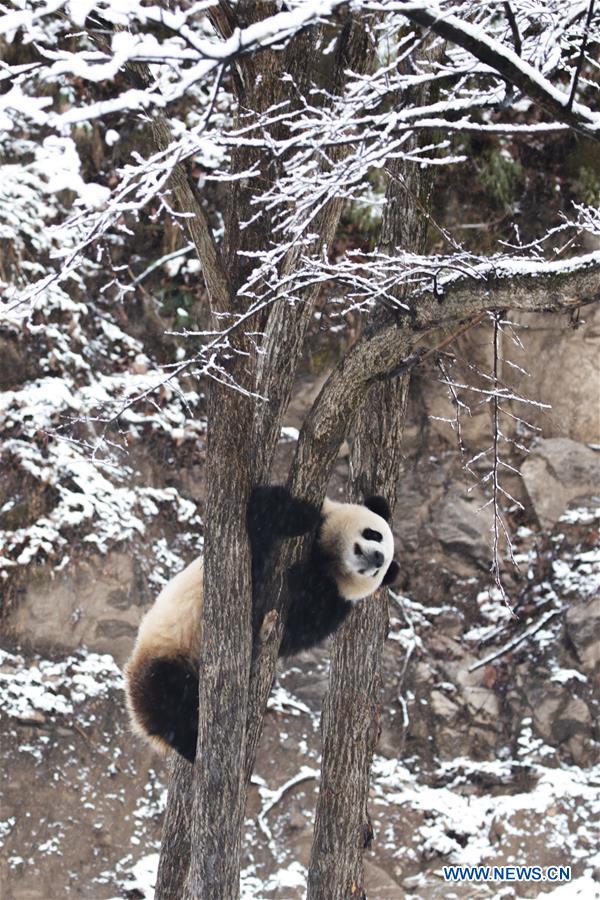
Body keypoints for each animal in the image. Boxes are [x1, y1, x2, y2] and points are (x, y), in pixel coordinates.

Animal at [125, 486, 398, 760]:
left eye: (381, 569)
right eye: (374, 534)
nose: (377, 558)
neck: (330, 559)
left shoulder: (336, 602)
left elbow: (299, 628)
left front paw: (305, 579)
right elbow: (261, 518)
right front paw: (300, 516)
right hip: (168, 650)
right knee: (170, 696)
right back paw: (190, 744)